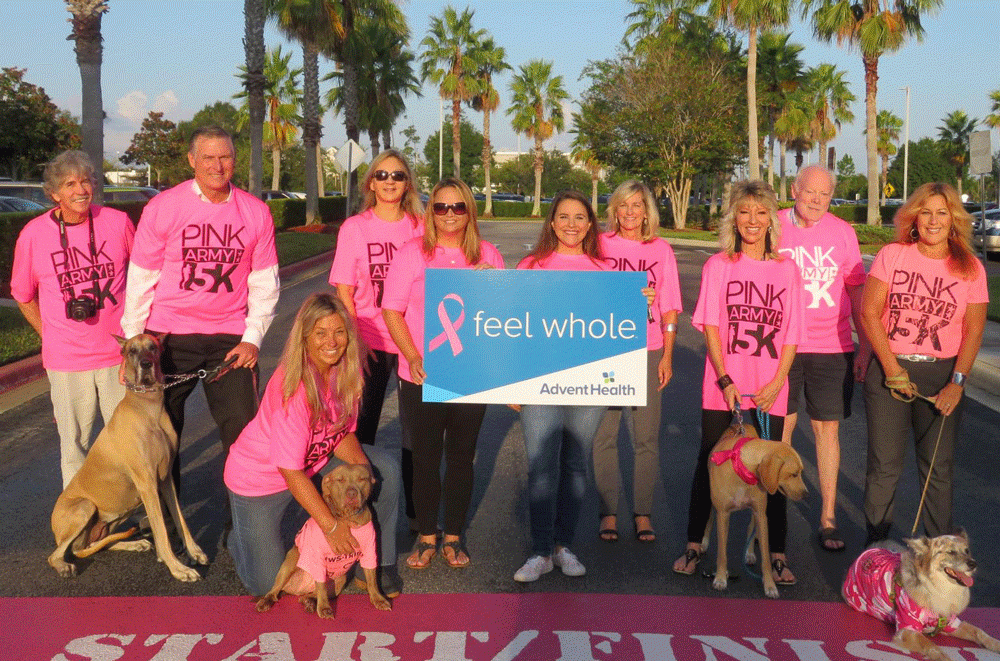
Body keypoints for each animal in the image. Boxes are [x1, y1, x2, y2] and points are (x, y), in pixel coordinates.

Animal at [50, 332, 209, 580]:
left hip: (117, 515)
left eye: (153, 347)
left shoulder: (165, 479)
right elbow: (161, 532)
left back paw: (135, 543)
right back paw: (63, 565)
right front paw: (177, 568)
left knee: (94, 545)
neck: (148, 407)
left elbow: (180, 519)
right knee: (57, 554)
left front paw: (194, 552)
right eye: (132, 350)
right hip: (84, 507)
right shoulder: (147, 484)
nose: (146, 364)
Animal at [254, 464, 390, 620]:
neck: (348, 517)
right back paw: (267, 600)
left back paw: (309, 600)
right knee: (276, 589)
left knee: (312, 593)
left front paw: (378, 599)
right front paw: (324, 608)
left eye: (362, 479)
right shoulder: (317, 555)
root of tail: (298, 589)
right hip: (290, 561)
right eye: (340, 480)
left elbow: (372, 578)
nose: (352, 493)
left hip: (340, 579)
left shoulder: (370, 551)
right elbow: (321, 586)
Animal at [708, 422, 808, 600]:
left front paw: (770, 585)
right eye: (793, 474)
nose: (806, 494)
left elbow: (766, 559)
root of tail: (741, 424)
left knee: (751, 528)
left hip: (758, 512)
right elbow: (722, 552)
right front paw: (720, 577)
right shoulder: (723, 515)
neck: (741, 467)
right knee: (709, 519)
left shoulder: (761, 514)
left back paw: (749, 553)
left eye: (801, 473)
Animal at [844, 532, 1000, 660]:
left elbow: (979, 632)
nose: (973, 564)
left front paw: (996, 644)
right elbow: (932, 646)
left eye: (967, 551)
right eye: (951, 552)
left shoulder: (951, 624)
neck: (937, 589)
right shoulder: (907, 629)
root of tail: (869, 550)